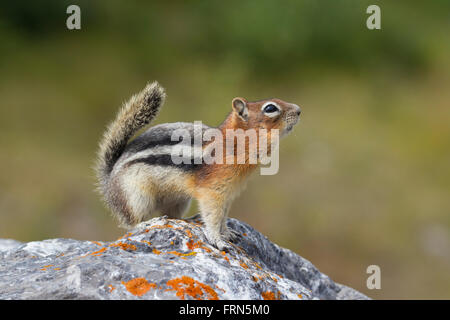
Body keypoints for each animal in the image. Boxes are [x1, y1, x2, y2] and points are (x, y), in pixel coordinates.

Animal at [95, 80, 300, 250]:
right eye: (270, 108)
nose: (299, 110)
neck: (234, 144)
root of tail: (109, 179)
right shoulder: (213, 192)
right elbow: (212, 217)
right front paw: (217, 240)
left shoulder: (228, 194)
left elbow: (223, 217)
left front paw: (227, 232)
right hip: (136, 195)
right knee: (131, 223)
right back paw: (147, 223)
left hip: (178, 200)